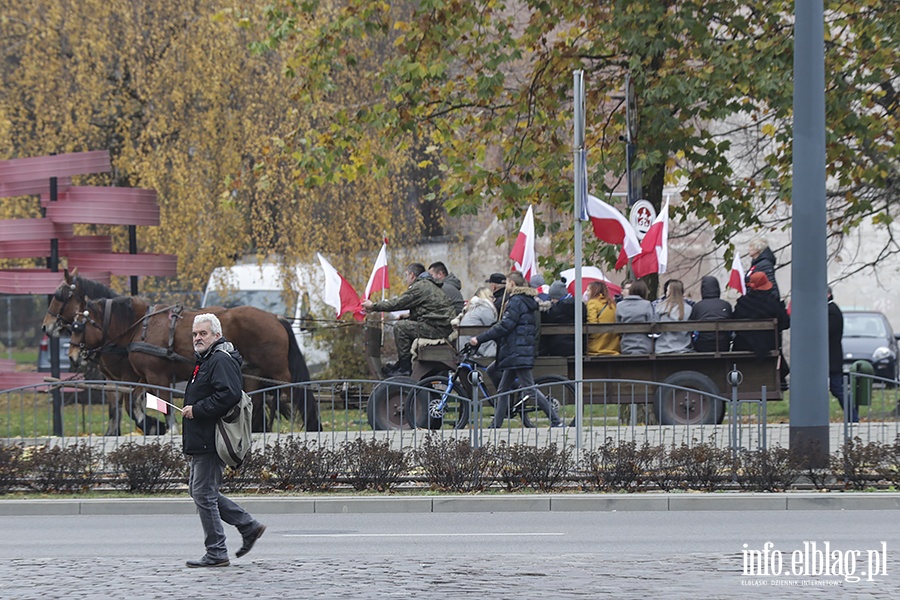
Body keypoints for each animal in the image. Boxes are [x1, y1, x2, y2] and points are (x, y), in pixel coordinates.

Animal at [71, 294, 324, 432]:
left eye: (78, 327)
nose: (73, 357)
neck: (142, 326)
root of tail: (275, 317)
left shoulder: (156, 375)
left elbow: (163, 400)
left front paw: (169, 427)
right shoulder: (144, 376)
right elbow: (134, 401)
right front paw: (151, 425)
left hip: (277, 370)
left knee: (292, 394)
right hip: (254, 372)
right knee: (265, 399)